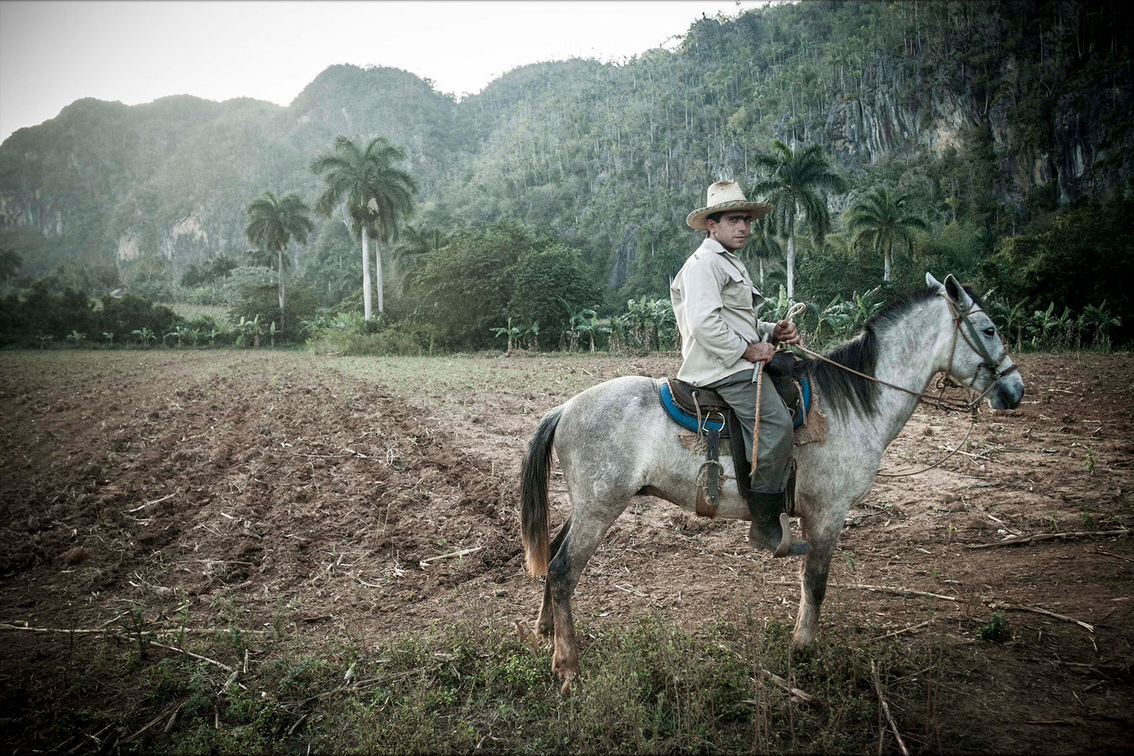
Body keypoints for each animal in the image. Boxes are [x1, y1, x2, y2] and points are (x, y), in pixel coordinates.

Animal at [521, 273, 1029, 693]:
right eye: (988, 330)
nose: (1015, 390)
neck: (851, 404)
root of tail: (565, 408)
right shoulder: (828, 512)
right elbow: (815, 581)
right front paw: (804, 646)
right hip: (601, 508)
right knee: (564, 569)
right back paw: (567, 664)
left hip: (588, 506)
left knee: (555, 555)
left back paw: (546, 631)